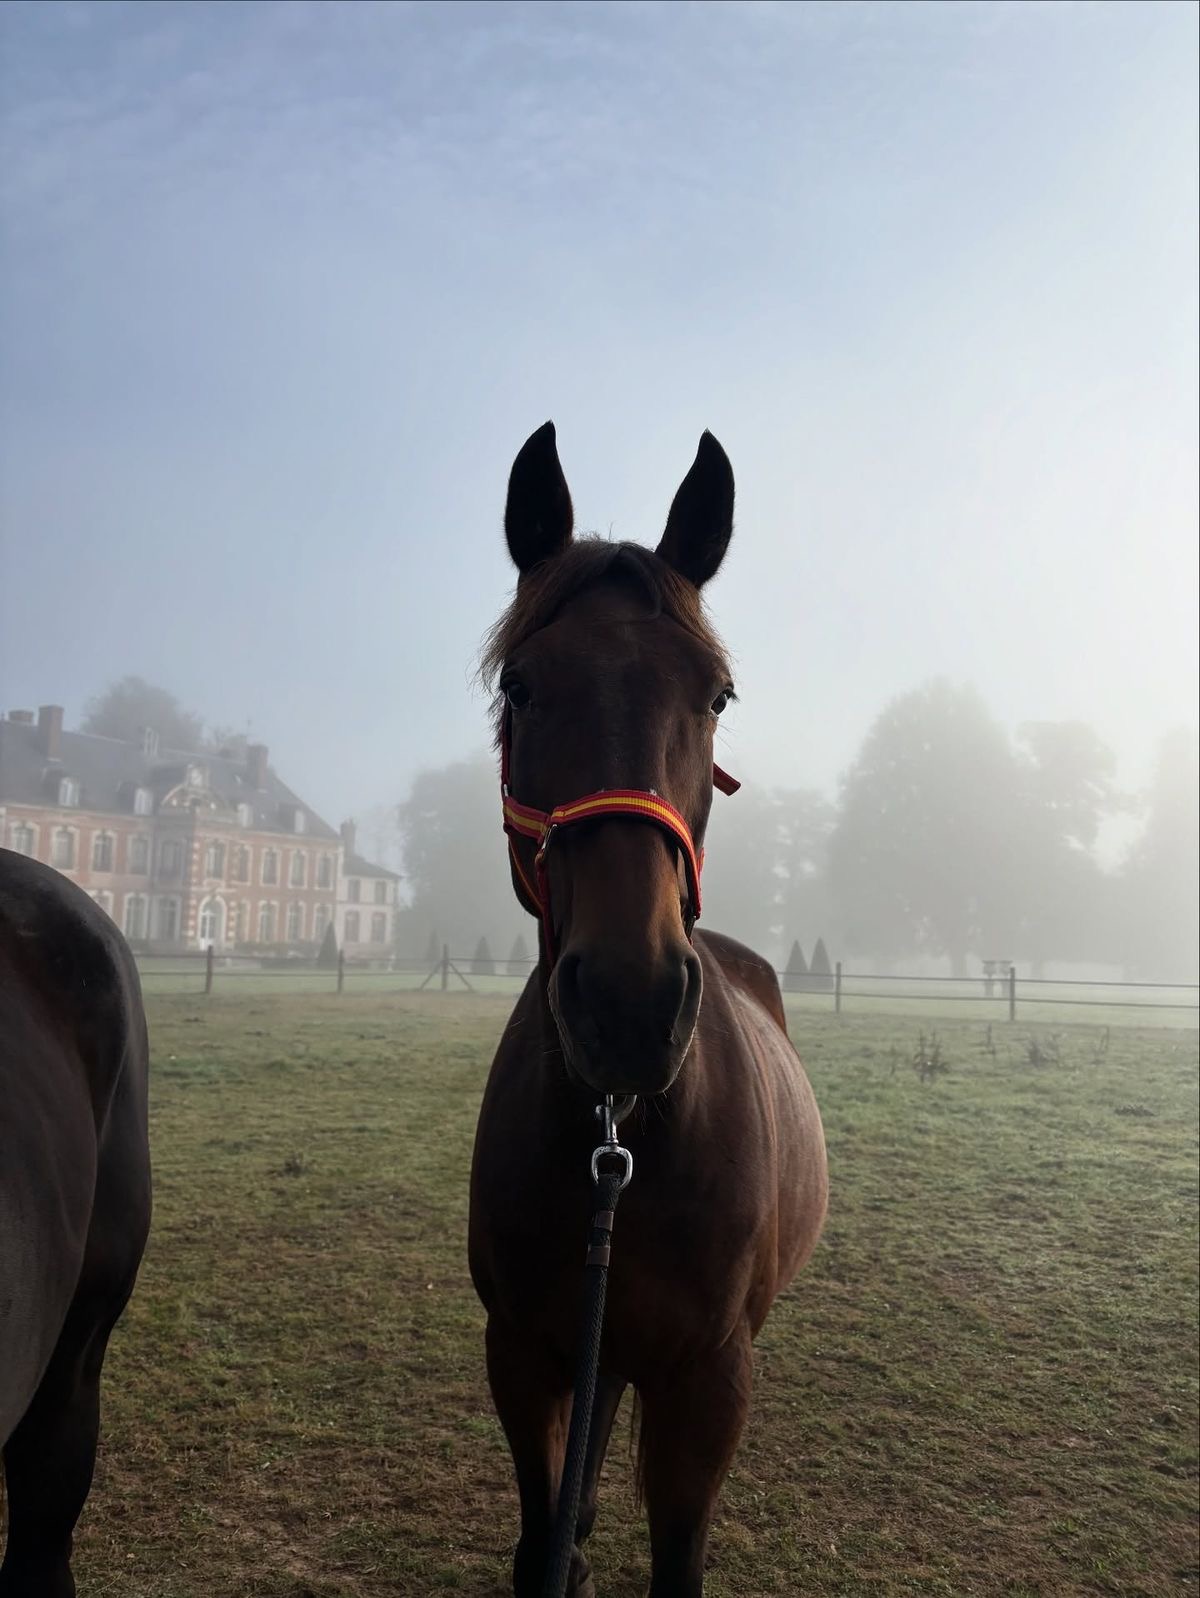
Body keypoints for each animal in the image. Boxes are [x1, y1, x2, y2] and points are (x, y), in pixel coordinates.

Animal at [468, 423, 828, 1597]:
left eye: (716, 694)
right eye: (524, 685)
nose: (631, 1002)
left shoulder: (710, 1381)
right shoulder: (523, 1353)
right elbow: (540, 1538)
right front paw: (564, 1545)